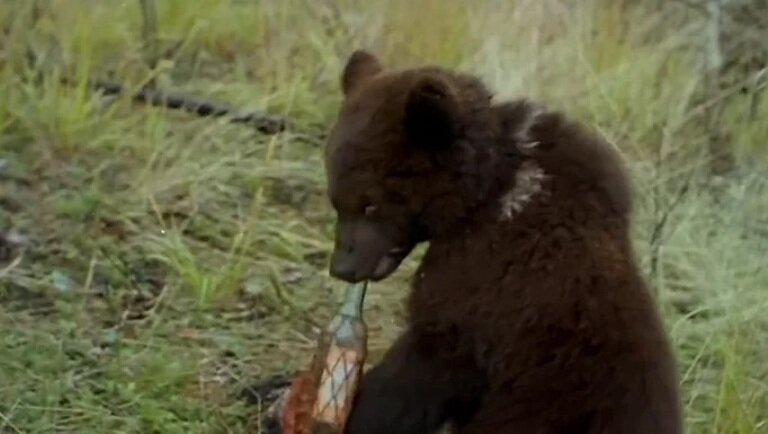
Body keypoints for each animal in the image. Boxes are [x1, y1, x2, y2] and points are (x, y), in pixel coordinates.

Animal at [320, 50, 680, 434]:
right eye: (336, 200)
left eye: (370, 204)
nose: (342, 266)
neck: (489, 190)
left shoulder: (488, 284)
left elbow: (429, 361)